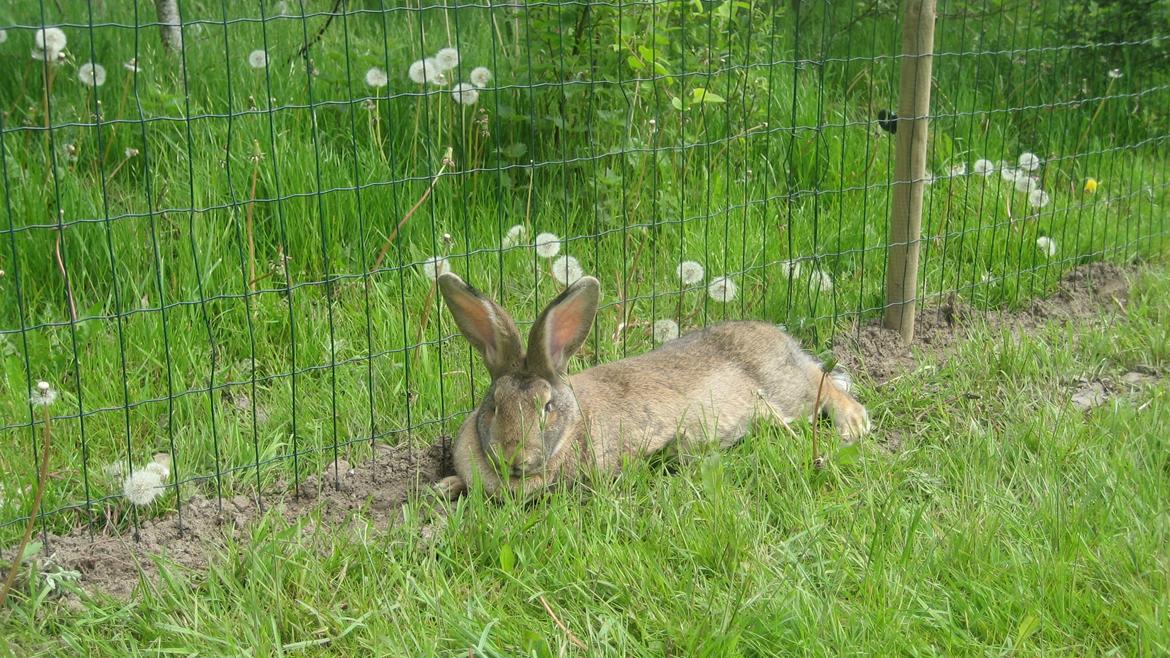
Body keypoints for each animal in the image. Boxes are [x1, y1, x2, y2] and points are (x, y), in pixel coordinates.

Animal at [432, 271, 870, 496]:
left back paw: (853, 425)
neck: (574, 428)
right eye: (494, 406)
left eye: (547, 407)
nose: (514, 458)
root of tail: (781, 339)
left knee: (825, 385)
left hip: (786, 387)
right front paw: (443, 486)